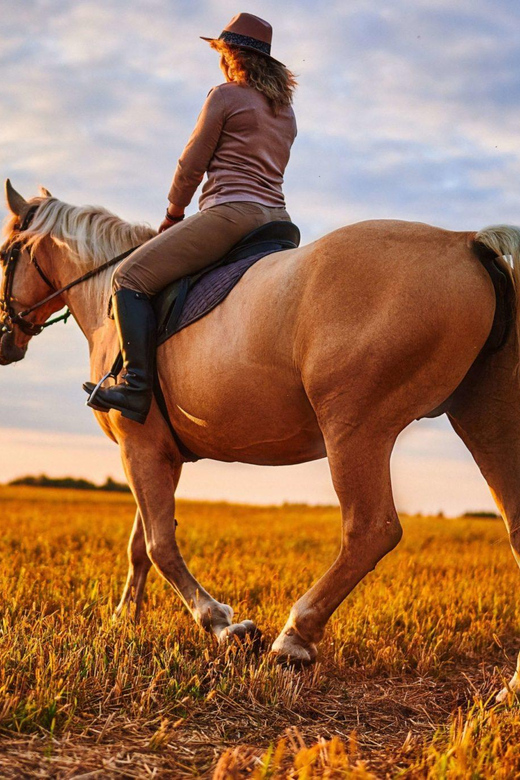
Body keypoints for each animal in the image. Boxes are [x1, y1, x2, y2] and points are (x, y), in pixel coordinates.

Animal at [3, 179, 520, 701]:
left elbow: (158, 545)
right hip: (485, 420)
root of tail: (467, 242)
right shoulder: (156, 453)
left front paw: (222, 624)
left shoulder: (138, 447)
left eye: (5, 255)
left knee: (370, 530)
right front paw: (123, 620)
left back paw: (294, 637)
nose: (6, 342)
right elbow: (140, 545)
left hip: (355, 428)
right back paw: (512, 690)